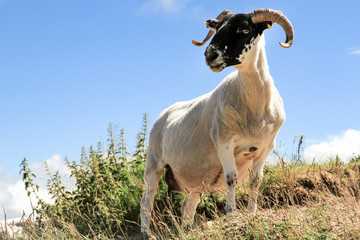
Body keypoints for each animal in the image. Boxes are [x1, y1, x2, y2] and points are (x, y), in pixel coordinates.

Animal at [139, 8, 294, 232]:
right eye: (217, 29)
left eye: (244, 29)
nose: (210, 54)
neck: (254, 110)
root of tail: (164, 114)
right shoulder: (224, 141)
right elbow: (232, 178)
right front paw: (231, 211)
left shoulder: (266, 147)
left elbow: (256, 180)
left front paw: (252, 212)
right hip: (153, 163)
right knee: (146, 201)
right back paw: (146, 232)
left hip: (196, 180)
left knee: (188, 207)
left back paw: (187, 230)